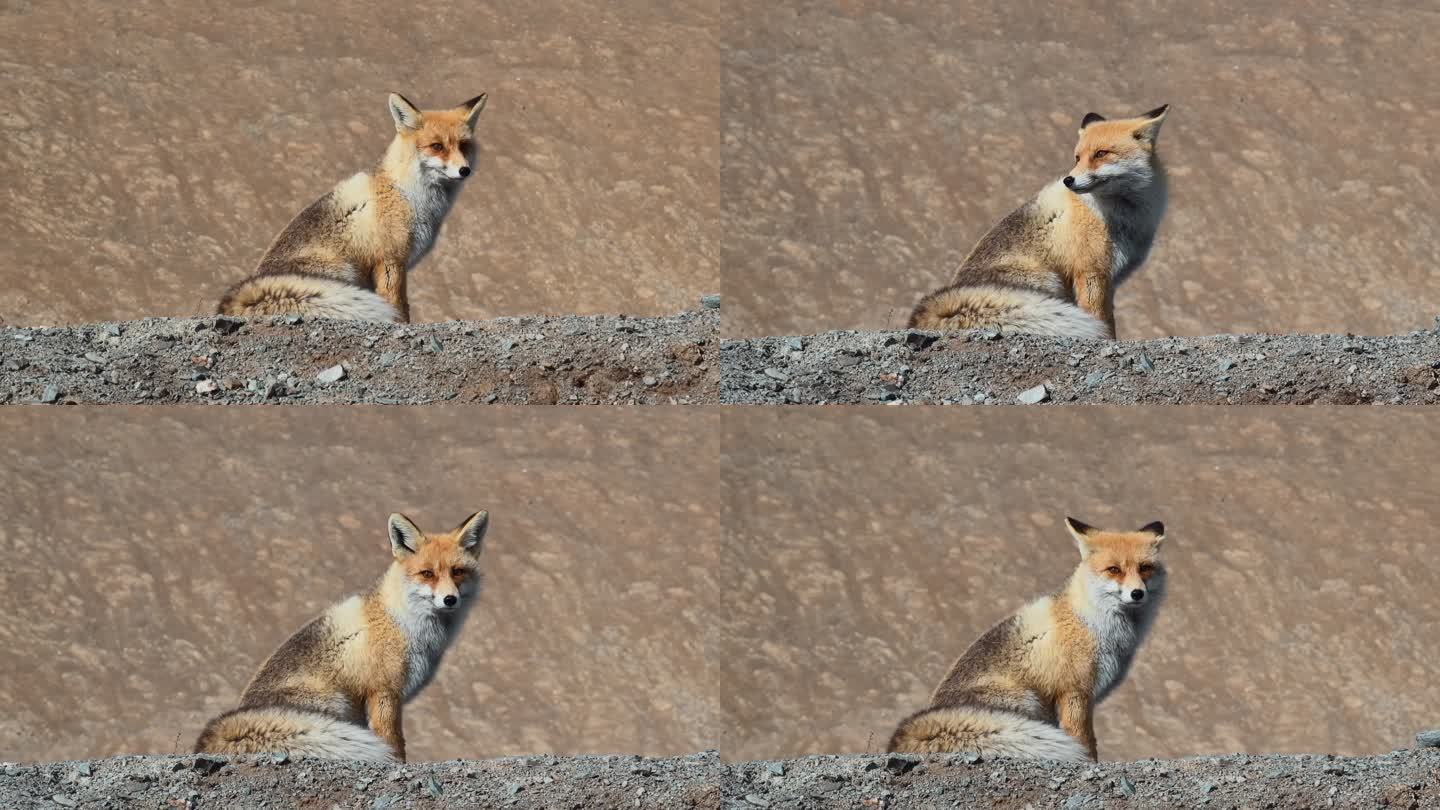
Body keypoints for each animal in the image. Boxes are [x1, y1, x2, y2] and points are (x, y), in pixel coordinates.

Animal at [197, 507, 489, 760]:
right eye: (427, 574)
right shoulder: (384, 692)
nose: (450, 600)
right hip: (336, 703)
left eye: (458, 572)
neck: (403, 621)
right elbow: (393, 741)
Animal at [216, 92, 489, 319]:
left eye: (464, 146)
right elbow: (398, 306)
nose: (465, 170)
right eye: (437, 146)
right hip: (345, 272)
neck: (408, 193)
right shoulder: (390, 261)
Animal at [887, 515, 1169, 755]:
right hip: (1027, 700)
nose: (1137, 593)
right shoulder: (1075, 692)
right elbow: (1083, 741)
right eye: (1114, 570)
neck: (1091, 621)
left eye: (1145, 568)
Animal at [910, 103, 1169, 337]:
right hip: (1048, 280)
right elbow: (1101, 320)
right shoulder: (1092, 272)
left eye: (1100, 154)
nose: (1069, 180)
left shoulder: (1108, 279)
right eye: (1077, 158)